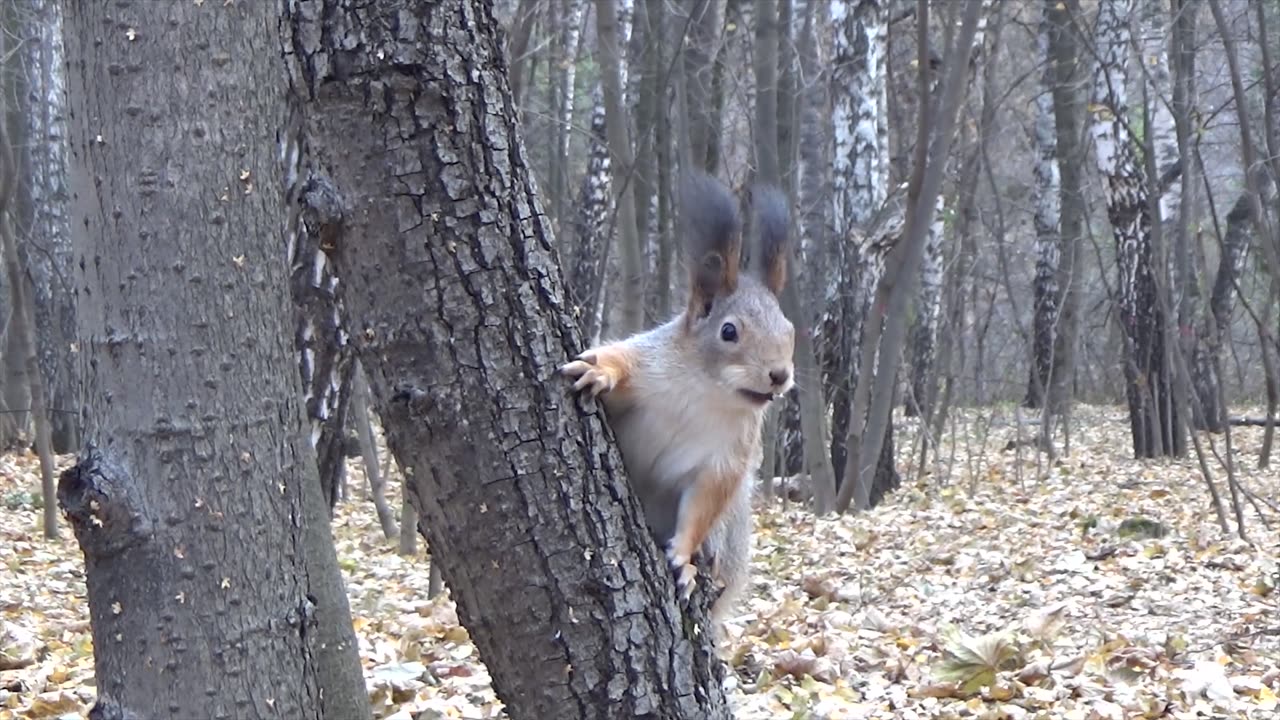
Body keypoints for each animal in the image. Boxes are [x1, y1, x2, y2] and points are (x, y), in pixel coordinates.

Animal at [560, 170, 788, 625]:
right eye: (729, 331)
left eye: (789, 329)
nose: (780, 375)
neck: (707, 391)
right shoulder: (650, 363)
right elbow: (620, 361)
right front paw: (600, 370)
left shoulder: (728, 458)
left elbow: (705, 503)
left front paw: (683, 559)